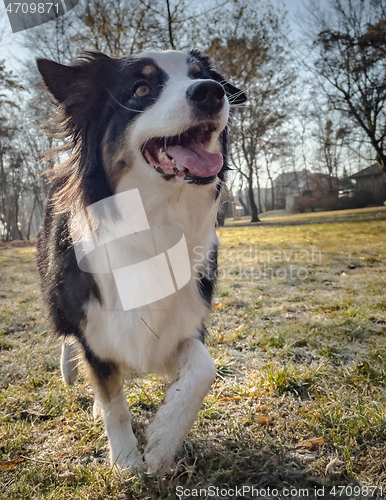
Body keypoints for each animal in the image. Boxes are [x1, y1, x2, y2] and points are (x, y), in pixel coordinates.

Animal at [37, 48, 246, 474]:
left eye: (198, 75)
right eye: (141, 89)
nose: (211, 92)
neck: (155, 221)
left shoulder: (179, 323)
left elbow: (204, 369)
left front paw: (163, 441)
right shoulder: (97, 326)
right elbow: (112, 402)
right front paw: (126, 461)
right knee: (67, 335)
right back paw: (69, 370)